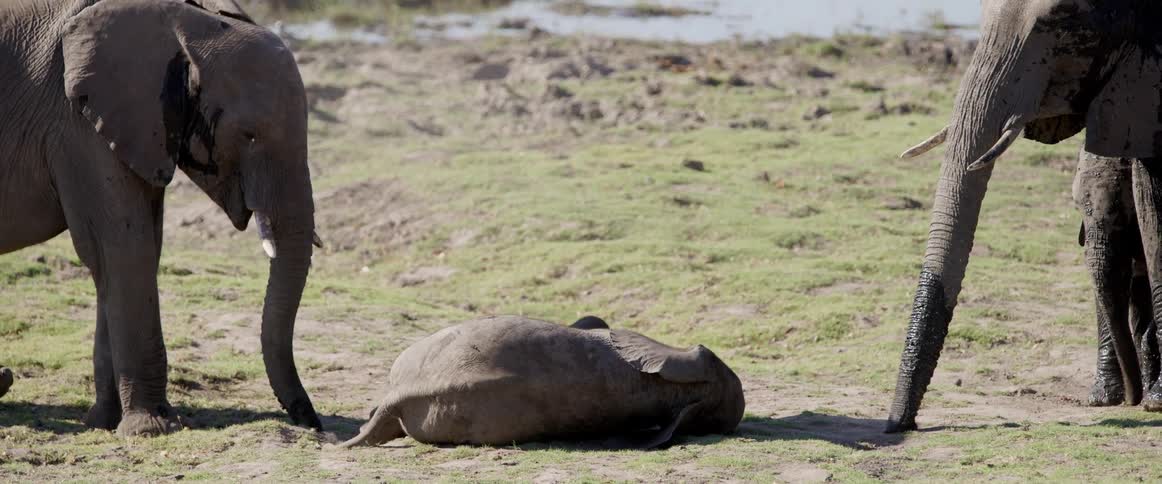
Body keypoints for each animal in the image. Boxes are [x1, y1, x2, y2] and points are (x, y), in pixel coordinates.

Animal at [0, 0, 321, 435]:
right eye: (249, 135)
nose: (312, 421)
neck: (178, 19)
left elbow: (133, 253)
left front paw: (105, 423)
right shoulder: (77, 124)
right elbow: (123, 248)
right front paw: (151, 429)